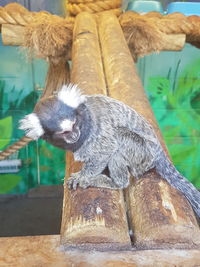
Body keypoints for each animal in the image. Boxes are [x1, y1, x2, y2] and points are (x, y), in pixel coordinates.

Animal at [19, 84, 200, 218]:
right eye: (64, 132)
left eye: (74, 124)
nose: (75, 135)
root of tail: (158, 152)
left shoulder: (98, 132)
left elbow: (107, 148)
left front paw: (84, 176)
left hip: (142, 153)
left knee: (119, 143)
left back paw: (114, 182)